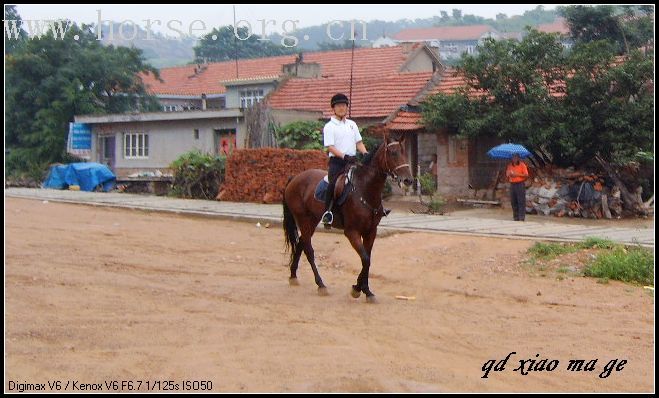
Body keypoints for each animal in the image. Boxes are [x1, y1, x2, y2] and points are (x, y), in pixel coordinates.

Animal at [282, 133, 416, 302]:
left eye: (404, 153)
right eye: (393, 153)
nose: (408, 180)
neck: (365, 190)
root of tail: (294, 178)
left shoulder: (371, 231)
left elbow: (367, 259)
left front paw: (365, 290)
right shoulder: (352, 232)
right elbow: (365, 259)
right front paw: (358, 289)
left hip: (311, 221)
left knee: (301, 243)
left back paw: (293, 275)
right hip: (303, 219)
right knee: (309, 250)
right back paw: (321, 284)